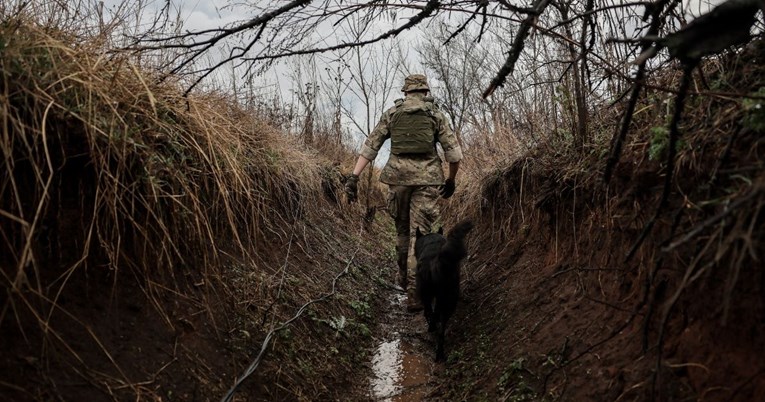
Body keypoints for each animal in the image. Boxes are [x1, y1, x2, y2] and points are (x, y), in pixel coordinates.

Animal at [412, 220, 472, 362]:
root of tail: (437, 261)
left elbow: (429, 312)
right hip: (450, 297)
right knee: (442, 325)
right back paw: (440, 353)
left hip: (428, 294)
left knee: (431, 314)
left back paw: (431, 329)